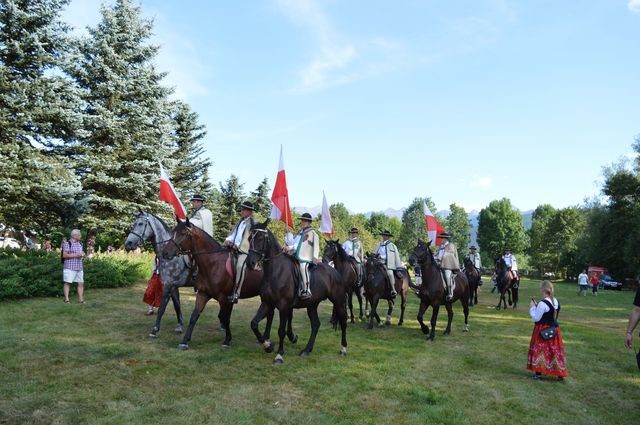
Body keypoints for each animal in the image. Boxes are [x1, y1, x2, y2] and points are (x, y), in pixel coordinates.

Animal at [161, 219, 272, 348]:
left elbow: (224, 318)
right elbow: (194, 316)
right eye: (173, 231)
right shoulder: (203, 294)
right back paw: (265, 338)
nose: (165, 252)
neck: (213, 263)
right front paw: (184, 341)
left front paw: (227, 340)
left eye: (183, 234)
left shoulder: (224, 298)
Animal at [245, 220, 348, 362]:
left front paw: (279, 354)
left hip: (338, 301)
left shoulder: (283, 306)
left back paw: (343, 349)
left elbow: (281, 331)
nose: (250, 263)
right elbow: (253, 324)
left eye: (260, 238)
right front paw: (268, 345)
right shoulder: (267, 303)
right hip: (312, 305)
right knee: (316, 324)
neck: (275, 271)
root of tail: (335, 271)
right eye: (249, 238)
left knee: (343, 321)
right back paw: (306, 350)